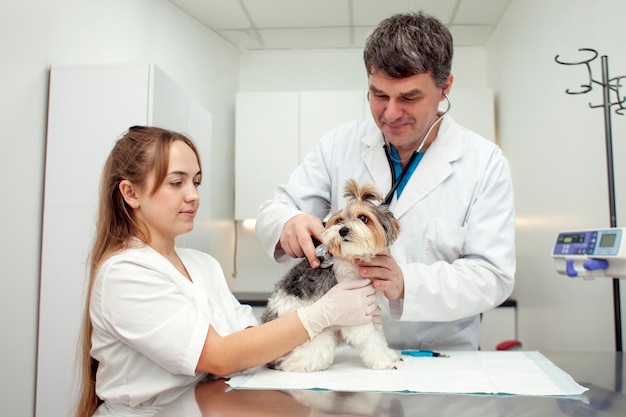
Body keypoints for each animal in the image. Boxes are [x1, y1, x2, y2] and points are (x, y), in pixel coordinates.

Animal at [258, 179, 400, 370]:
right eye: (339, 220)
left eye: (363, 218)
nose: (343, 230)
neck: (351, 260)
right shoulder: (355, 315)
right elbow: (369, 339)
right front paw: (382, 360)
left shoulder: (370, 307)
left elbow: (378, 336)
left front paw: (389, 354)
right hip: (317, 342)